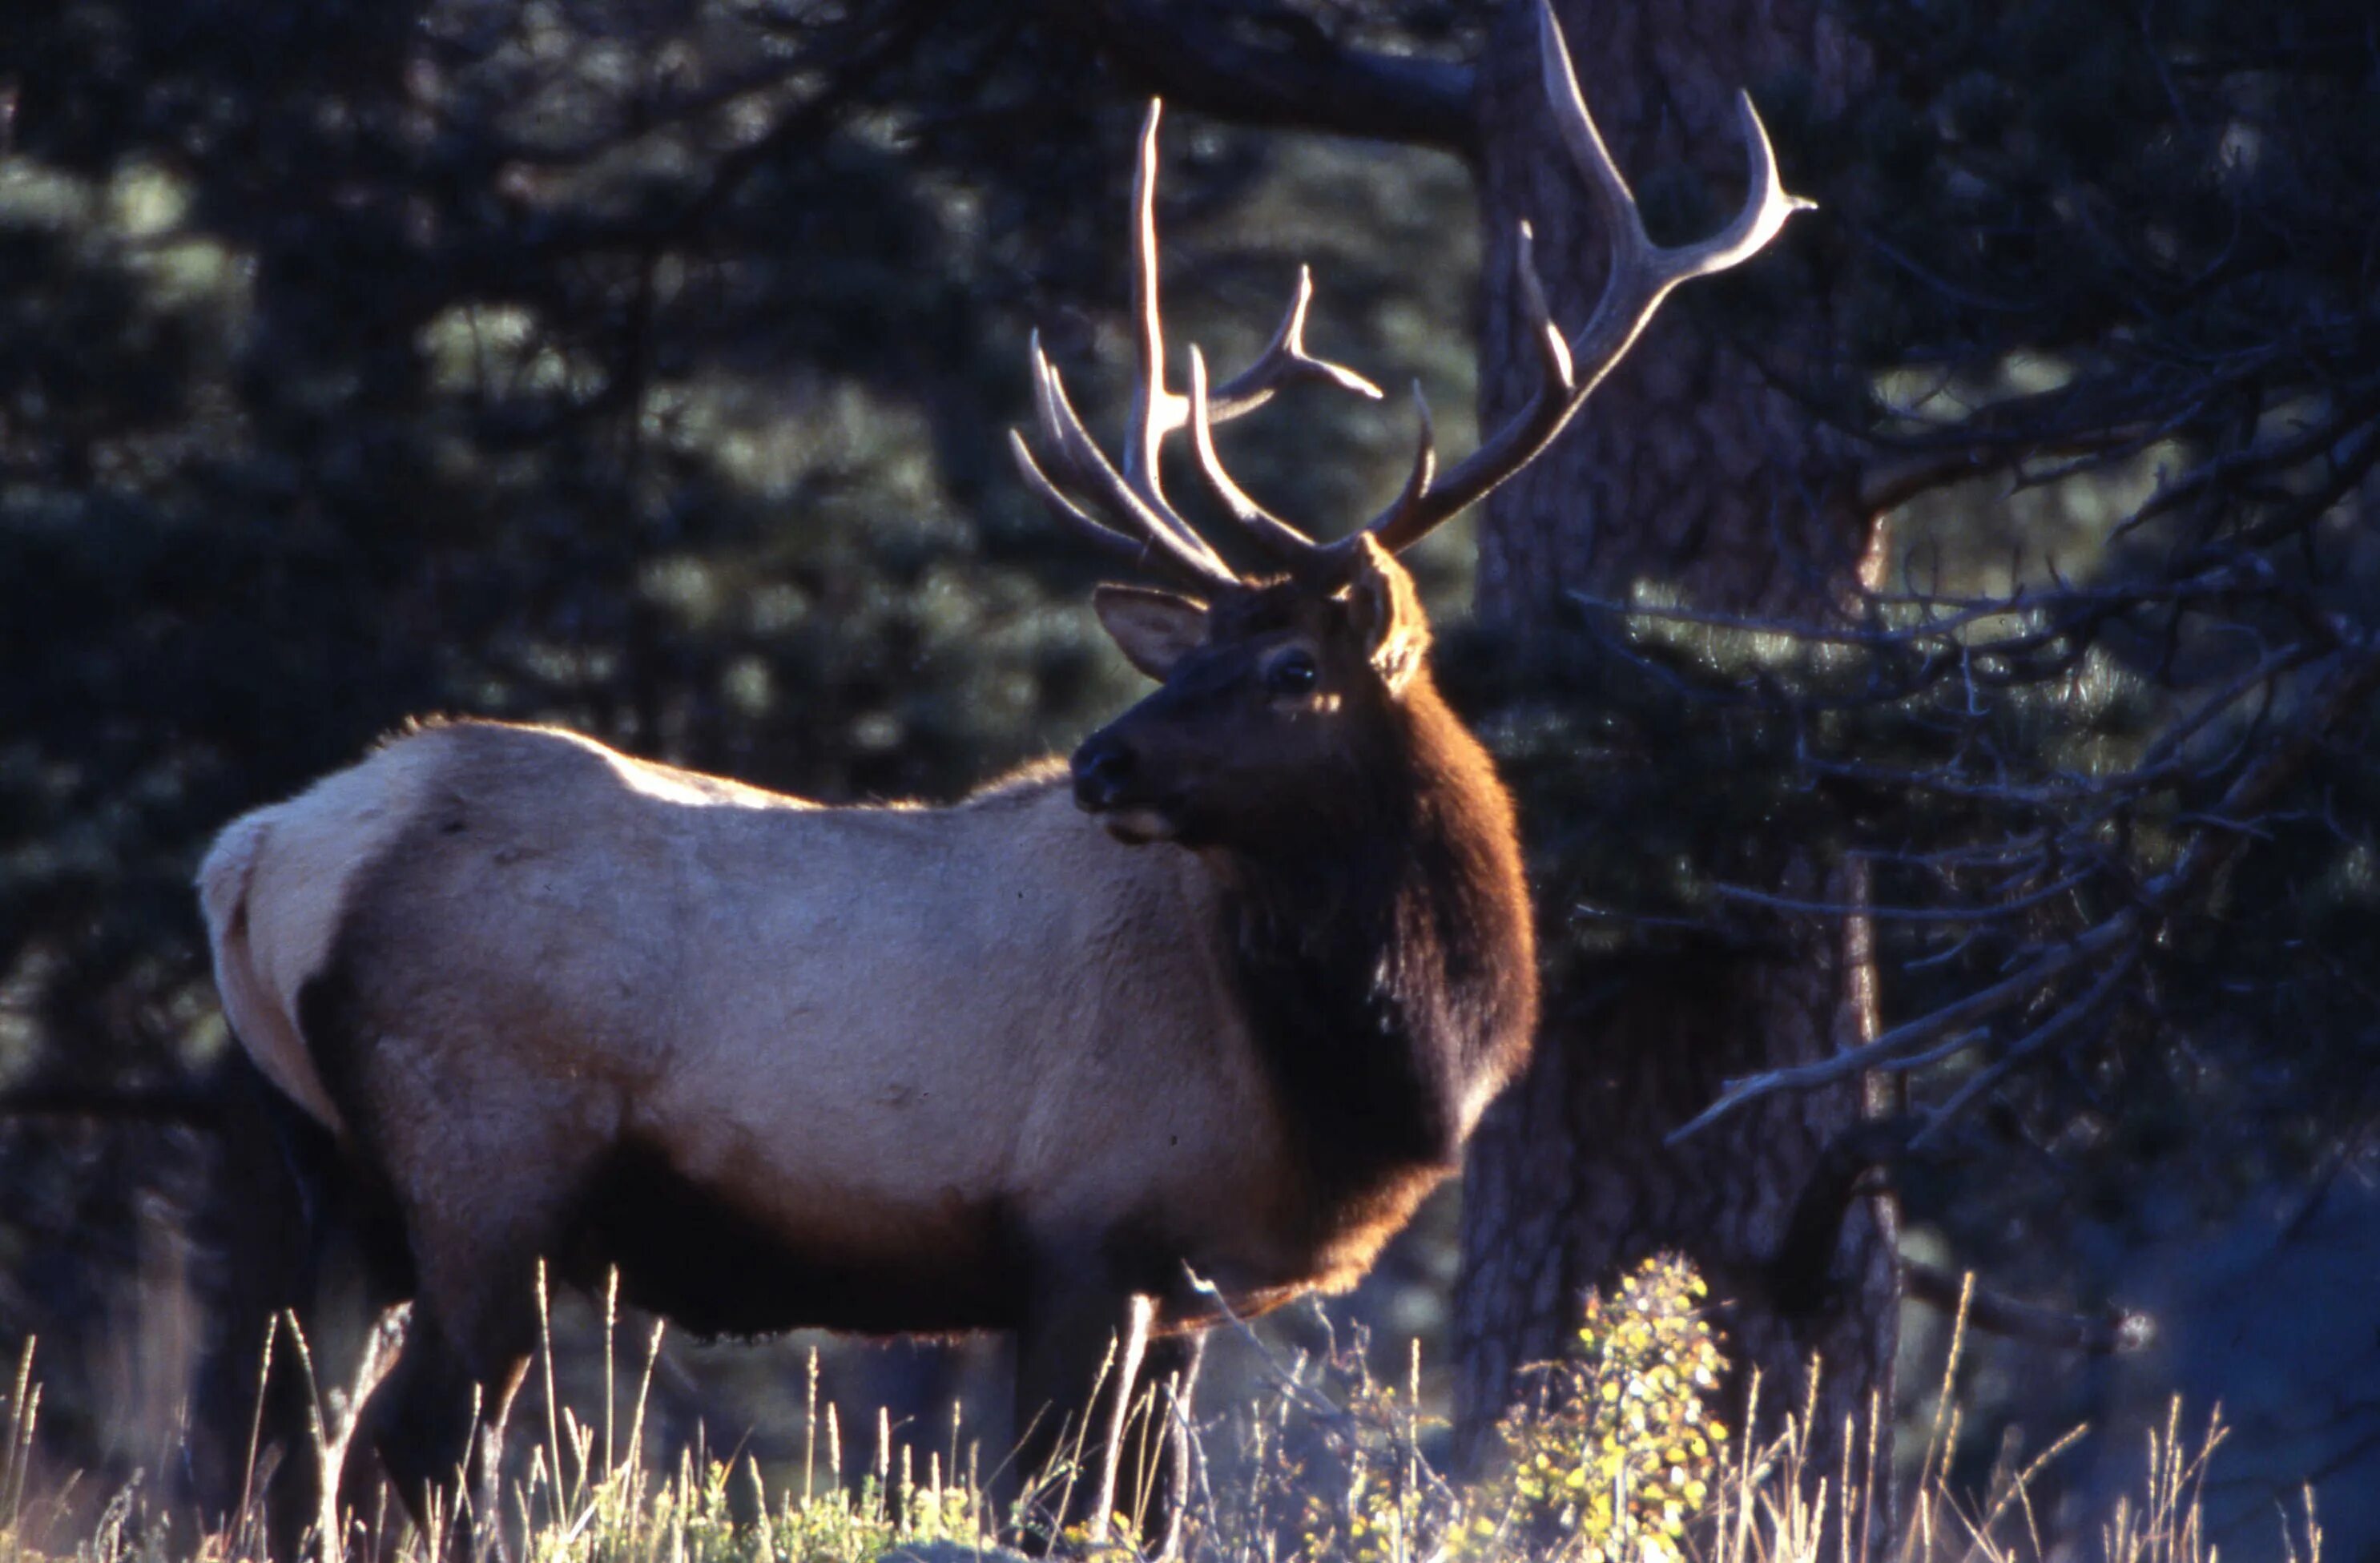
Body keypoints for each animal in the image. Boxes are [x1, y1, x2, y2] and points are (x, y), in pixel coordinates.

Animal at [199, 6, 1799, 1551]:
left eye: (1287, 666)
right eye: (1216, 653)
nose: (1101, 761)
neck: (1367, 1068)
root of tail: (258, 855)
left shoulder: (1181, 1287)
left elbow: (1142, 1517)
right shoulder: (1084, 1228)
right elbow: (1043, 1507)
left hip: (331, 1175)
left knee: (294, 1451)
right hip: (491, 1167)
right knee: (409, 1455)